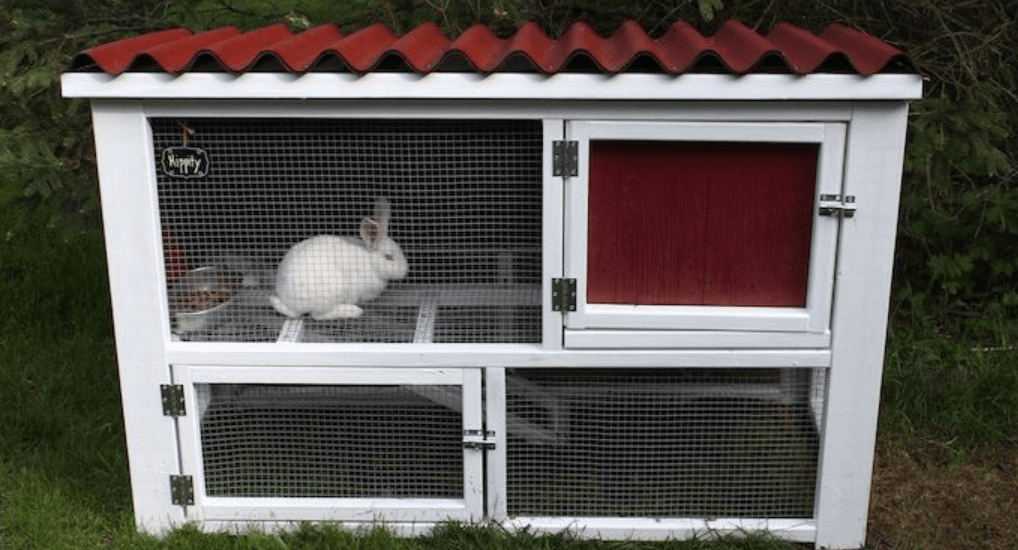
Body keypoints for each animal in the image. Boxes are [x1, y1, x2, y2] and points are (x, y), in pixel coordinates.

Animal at [270, 198, 408, 320]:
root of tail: (288, 301)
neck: (370, 262)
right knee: (317, 315)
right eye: (389, 257)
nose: (405, 271)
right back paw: (353, 311)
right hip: (330, 294)